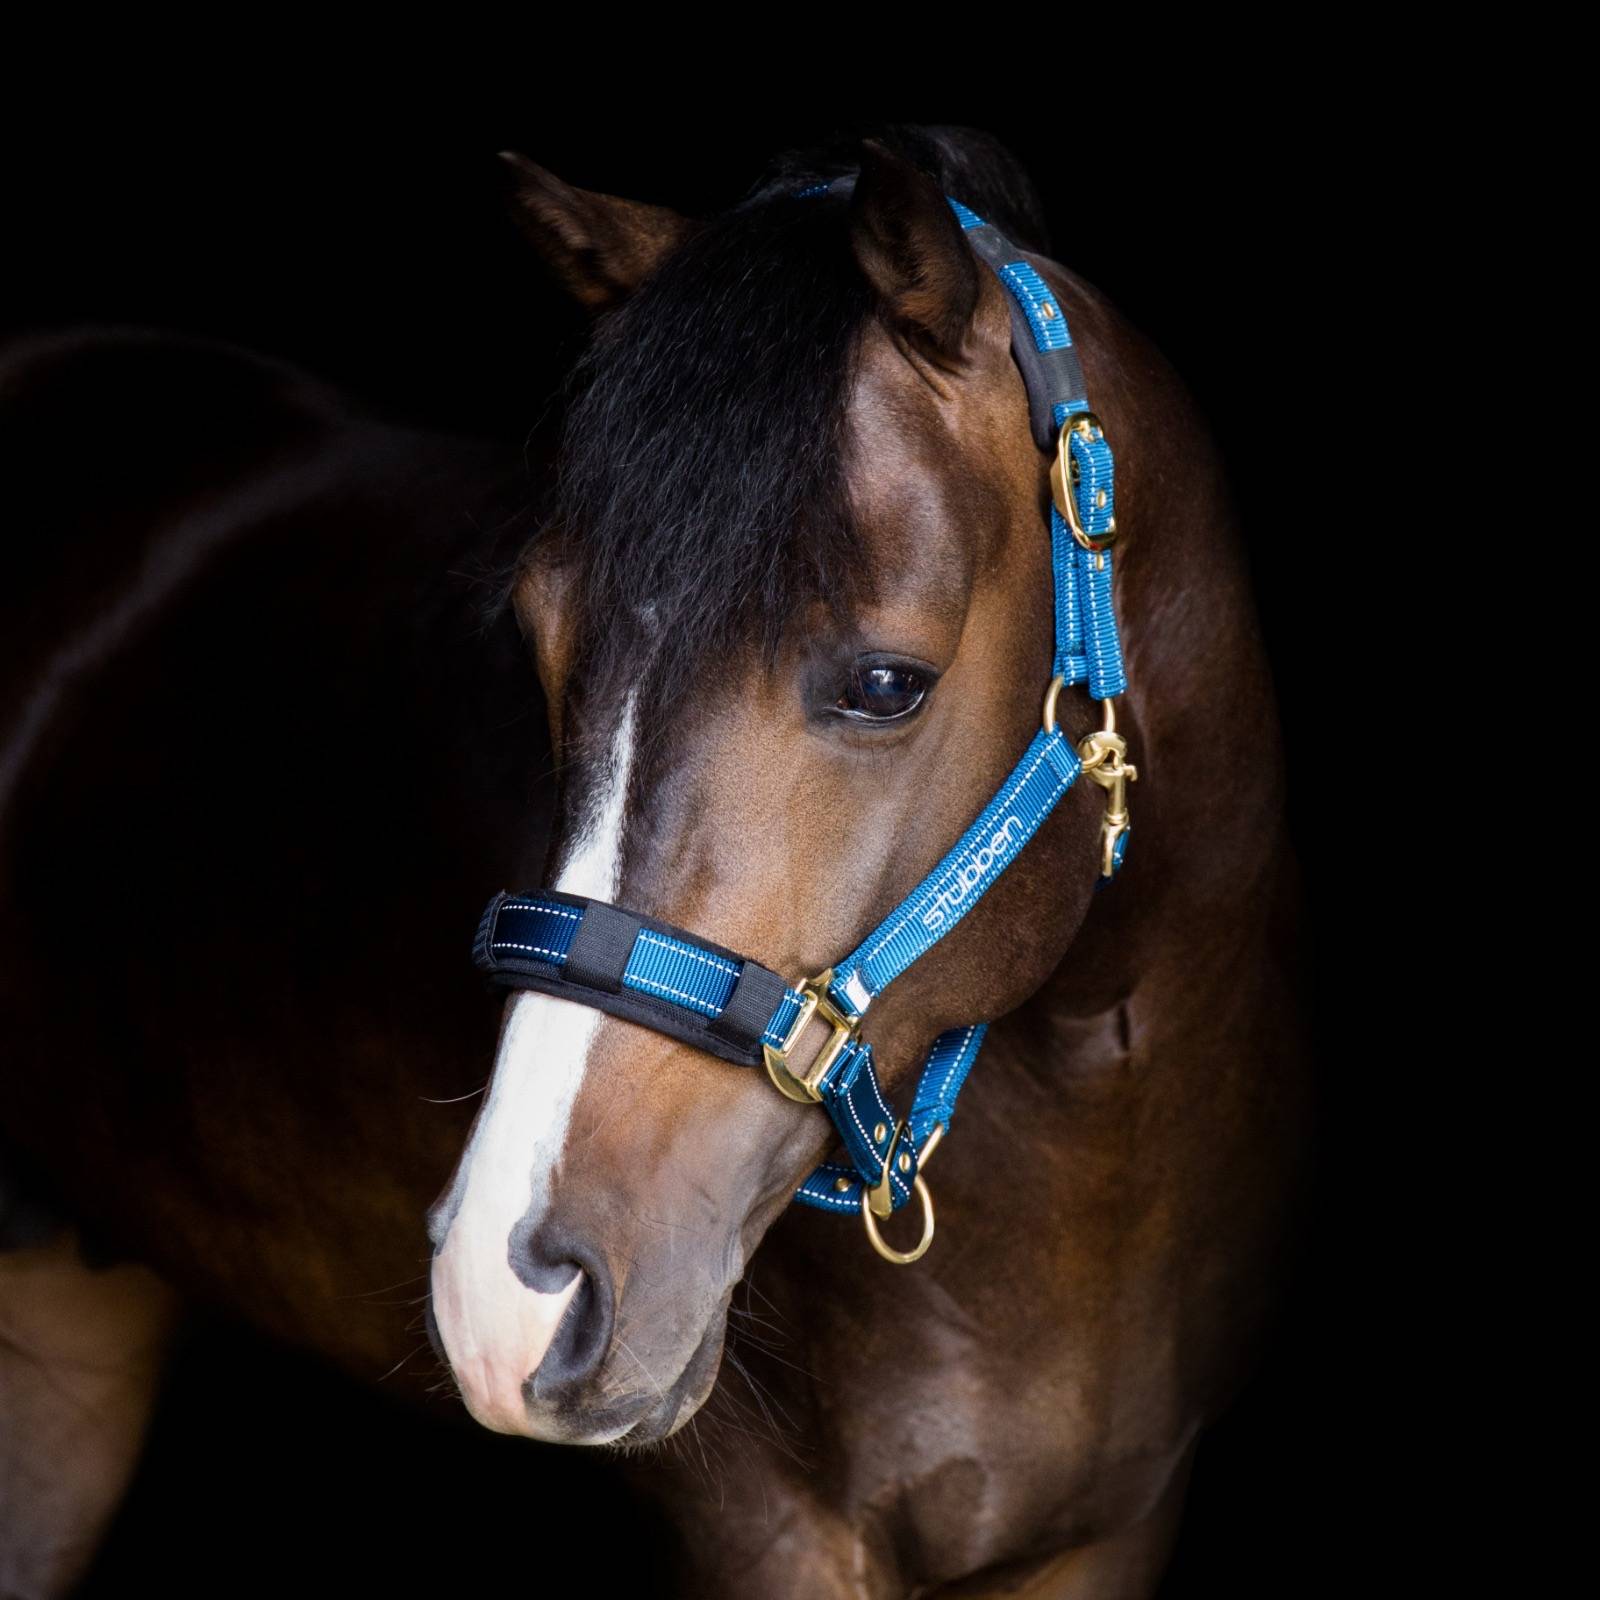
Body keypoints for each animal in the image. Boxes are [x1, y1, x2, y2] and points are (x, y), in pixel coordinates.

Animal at [0, 128, 1312, 1600]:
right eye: (536, 641)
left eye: (885, 684)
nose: (508, 1293)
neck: (1101, 1146)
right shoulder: (769, 1531)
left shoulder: (1110, 1530)